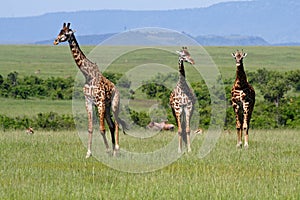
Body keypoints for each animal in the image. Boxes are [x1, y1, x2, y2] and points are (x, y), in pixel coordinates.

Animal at [53, 22, 126, 157]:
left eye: (66, 33)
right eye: (59, 31)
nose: (55, 41)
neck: (88, 75)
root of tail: (117, 89)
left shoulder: (100, 102)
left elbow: (101, 129)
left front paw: (107, 150)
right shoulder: (88, 102)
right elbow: (90, 128)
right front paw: (88, 153)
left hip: (114, 104)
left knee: (117, 124)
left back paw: (116, 149)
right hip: (107, 108)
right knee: (112, 125)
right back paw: (114, 150)